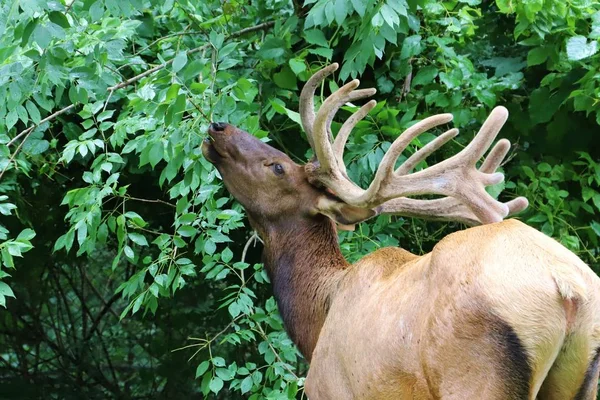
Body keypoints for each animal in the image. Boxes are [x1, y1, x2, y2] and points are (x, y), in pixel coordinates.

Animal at [202, 64, 600, 398]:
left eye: (277, 167)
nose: (219, 126)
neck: (315, 322)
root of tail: (568, 289)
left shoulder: (329, 389)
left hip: (474, 376)